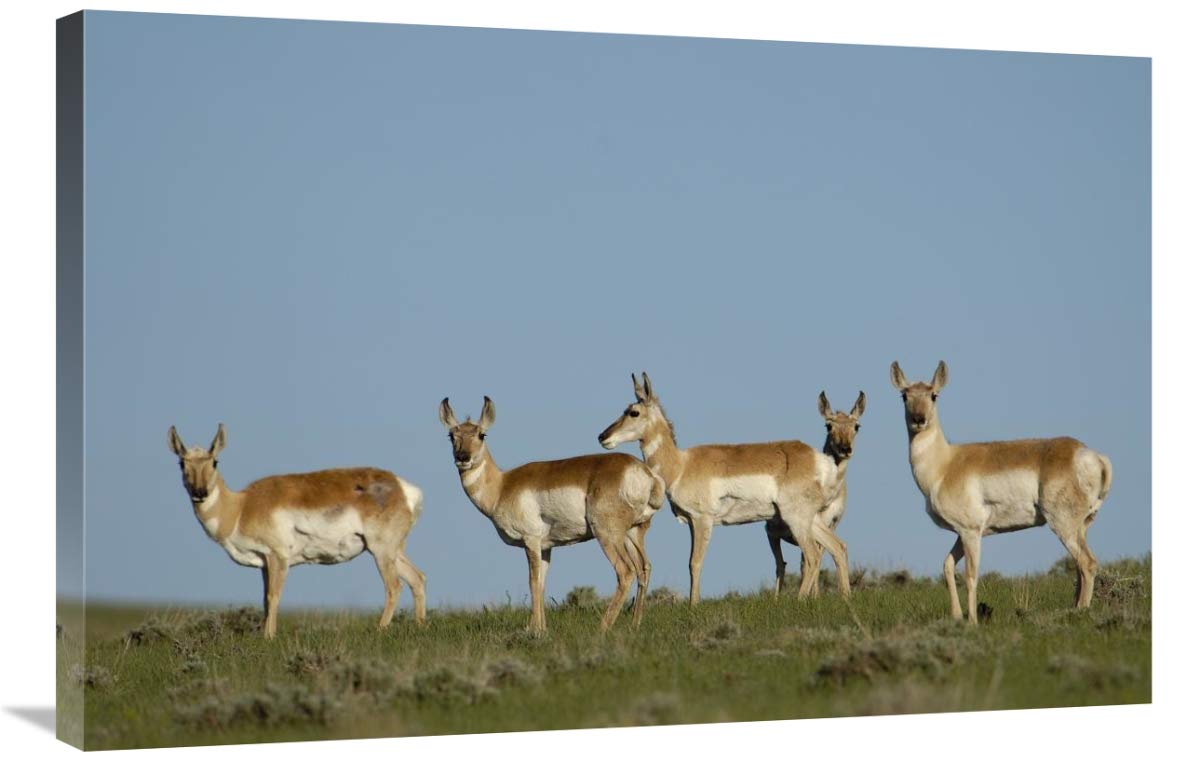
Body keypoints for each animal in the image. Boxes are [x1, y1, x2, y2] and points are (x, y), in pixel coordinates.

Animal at [167, 424, 427, 638]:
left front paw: (268, 638)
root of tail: (402, 487)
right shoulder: (264, 564)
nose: (199, 492)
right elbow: (264, 600)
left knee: (394, 587)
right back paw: (419, 626)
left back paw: (380, 630)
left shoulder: (277, 557)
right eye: (182, 463)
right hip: (392, 551)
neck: (241, 506)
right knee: (417, 578)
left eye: (214, 462)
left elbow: (273, 597)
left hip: (381, 551)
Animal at [438, 397, 665, 633]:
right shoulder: (546, 547)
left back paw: (602, 628)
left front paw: (534, 630)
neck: (502, 485)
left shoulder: (531, 541)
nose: (463, 457)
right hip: (632, 533)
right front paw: (541, 628)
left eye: (482, 434)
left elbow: (532, 582)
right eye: (452, 435)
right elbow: (541, 584)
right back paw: (634, 624)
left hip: (607, 535)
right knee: (644, 568)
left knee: (625, 571)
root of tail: (645, 472)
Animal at [599, 373, 850, 604]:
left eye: (633, 412)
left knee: (812, 556)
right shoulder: (692, 523)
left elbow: (695, 563)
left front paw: (693, 606)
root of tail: (819, 460)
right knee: (838, 547)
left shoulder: (702, 520)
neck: (681, 465)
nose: (602, 436)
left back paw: (799, 600)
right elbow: (691, 563)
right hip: (811, 519)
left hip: (796, 519)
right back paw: (845, 596)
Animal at [765, 391, 865, 598]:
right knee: (781, 564)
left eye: (856, 426)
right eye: (829, 425)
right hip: (773, 535)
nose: (845, 449)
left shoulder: (829, 526)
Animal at [889, 361, 1113, 623]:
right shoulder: (962, 533)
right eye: (905, 395)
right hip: (1080, 527)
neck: (945, 464)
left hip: (1063, 525)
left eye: (934, 395)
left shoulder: (971, 532)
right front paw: (957, 616)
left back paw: (1080, 612)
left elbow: (970, 576)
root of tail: (1089, 454)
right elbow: (947, 566)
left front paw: (972, 621)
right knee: (1079, 566)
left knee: (1087, 563)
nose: (919, 419)